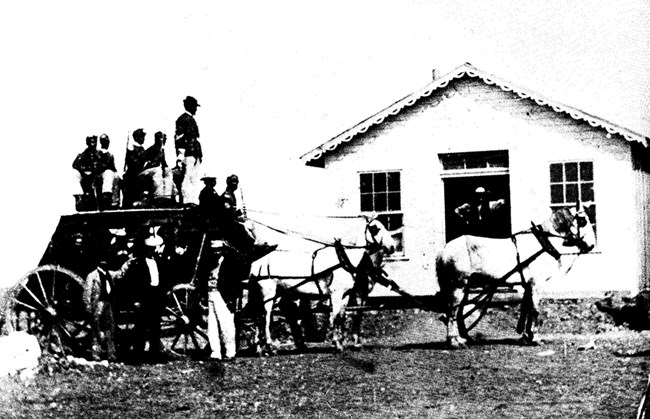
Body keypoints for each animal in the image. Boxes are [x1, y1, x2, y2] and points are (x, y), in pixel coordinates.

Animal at [248, 218, 394, 356]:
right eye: (375, 228)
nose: (392, 247)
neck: (342, 260)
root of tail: (258, 263)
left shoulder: (345, 295)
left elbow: (341, 317)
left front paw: (341, 343)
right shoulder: (336, 294)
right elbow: (335, 317)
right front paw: (337, 345)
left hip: (277, 294)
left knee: (259, 317)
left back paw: (260, 348)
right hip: (269, 294)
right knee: (265, 318)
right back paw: (270, 347)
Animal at [436, 205, 592, 350]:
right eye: (583, 221)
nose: (591, 246)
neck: (544, 241)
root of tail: (443, 250)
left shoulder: (528, 285)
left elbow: (527, 309)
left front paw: (527, 336)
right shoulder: (536, 285)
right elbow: (535, 311)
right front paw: (535, 338)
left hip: (465, 287)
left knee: (459, 311)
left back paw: (464, 338)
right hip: (457, 286)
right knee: (452, 311)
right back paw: (454, 342)